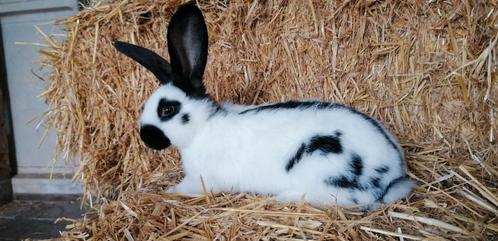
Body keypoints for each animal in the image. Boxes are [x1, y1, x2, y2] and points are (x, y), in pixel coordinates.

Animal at [115, 2, 414, 209]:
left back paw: (286, 197)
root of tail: (394, 173)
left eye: (167, 109)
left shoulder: (202, 180)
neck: (202, 128)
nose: (145, 137)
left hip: (325, 163)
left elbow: (186, 188)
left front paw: (166, 192)